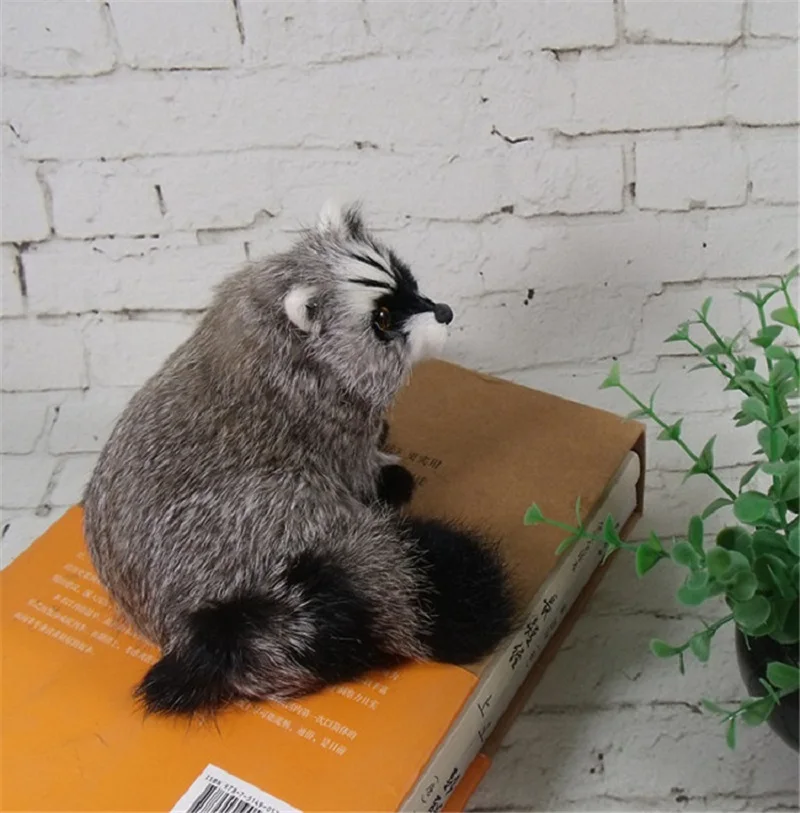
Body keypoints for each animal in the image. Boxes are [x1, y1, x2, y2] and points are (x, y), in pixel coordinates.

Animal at [82, 201, 518, 716]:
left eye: (408, 281)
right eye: (383, 318)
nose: (446, 312)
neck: (271, 320)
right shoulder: (322, 418)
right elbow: (354, 466)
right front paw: (381, 474)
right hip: (252, 517)